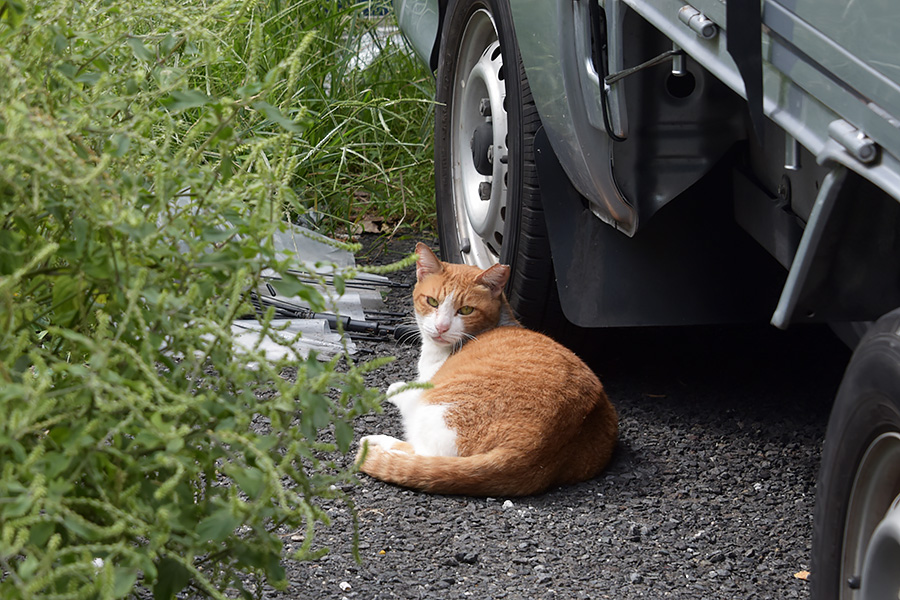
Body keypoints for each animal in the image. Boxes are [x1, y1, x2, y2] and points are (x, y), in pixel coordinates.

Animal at [356, 241, 616, 494]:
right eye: (432, 302)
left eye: (465, 310)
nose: (441, 327)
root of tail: (530, 448)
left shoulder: (425, 388)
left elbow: (405, 391)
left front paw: (397, 387)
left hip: (436, 411)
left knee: (424, 455)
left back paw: (378, 443)